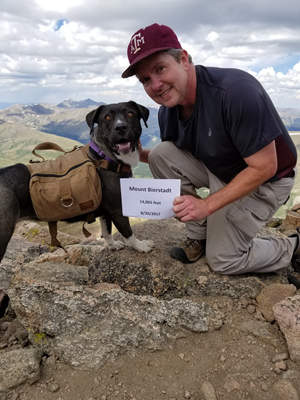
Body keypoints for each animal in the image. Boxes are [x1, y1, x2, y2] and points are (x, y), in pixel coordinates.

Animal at [0, 101, 155, 260]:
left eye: (130, 113)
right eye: (107, 117)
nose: (120, 127)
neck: (105, 158)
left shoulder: (105, 211)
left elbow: (106, 232)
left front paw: (113, 246)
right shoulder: (118, 210)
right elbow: (129, 234)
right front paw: (141, 246)